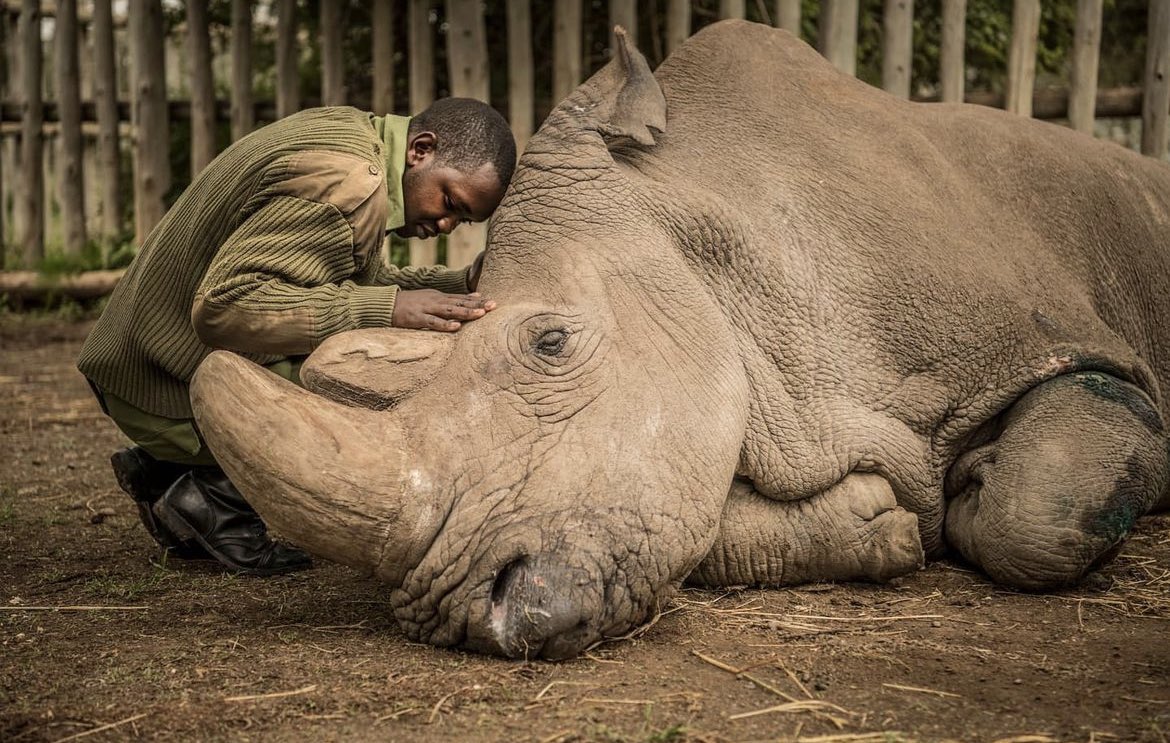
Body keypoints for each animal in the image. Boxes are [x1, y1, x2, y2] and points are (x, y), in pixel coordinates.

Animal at [189, 20, 1170, 660]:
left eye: (551, 343)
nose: (466, 615)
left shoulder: (1058, 348)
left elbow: (1035, 511)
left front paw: (973, 492)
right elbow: (697, 524)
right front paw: (883, 524)